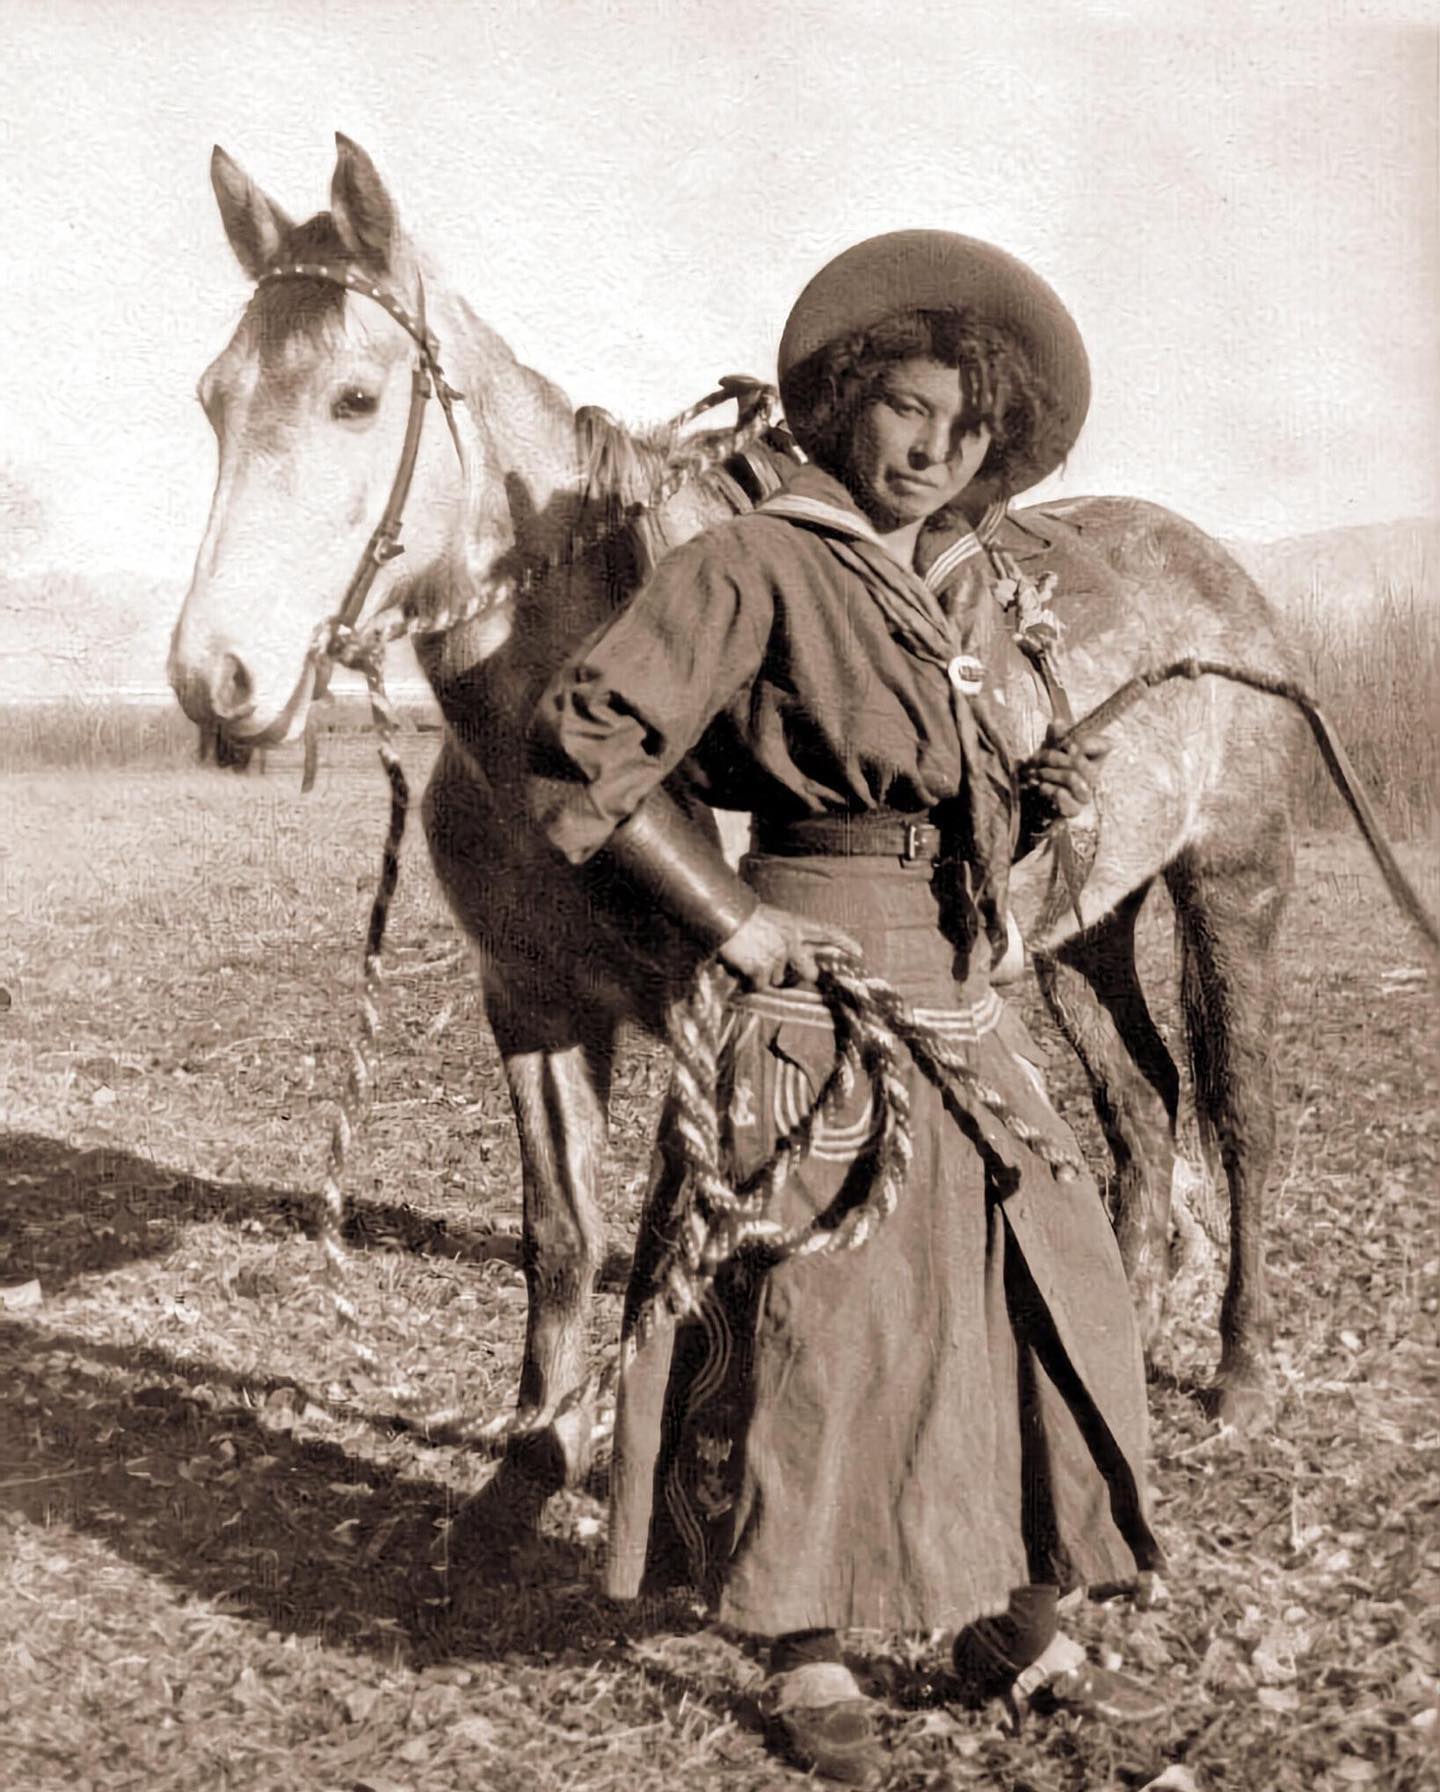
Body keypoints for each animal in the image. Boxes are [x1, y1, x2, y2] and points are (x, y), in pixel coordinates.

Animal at [165, 136, 1303, 1483]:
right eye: (214, 398)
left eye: (353, 397)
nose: (216, 676)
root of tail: (1225, 578)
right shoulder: (532, 1003)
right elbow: (561, 1238)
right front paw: (532, 1460)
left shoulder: (711, 1013)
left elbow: (687, 1240)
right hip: (1080, 932)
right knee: (1138, 1106)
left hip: (1234, 884)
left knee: (1241, 1113)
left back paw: (1237, 1368)